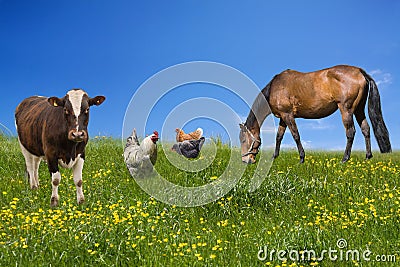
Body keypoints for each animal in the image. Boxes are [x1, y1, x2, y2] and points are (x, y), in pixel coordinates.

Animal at [239, 65, 392, 164]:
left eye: (243, 140)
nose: (246, 160)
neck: (274, 88)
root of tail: (359, 71)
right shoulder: (283, 117)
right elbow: (279, 137)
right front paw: (274, 157)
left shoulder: (288, 115)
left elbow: (295, 135)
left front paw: (301, 158)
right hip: (359, 109)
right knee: (366, 129)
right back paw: (368, 156)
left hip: (346, 109)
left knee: (351, 132)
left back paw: (344, 159)